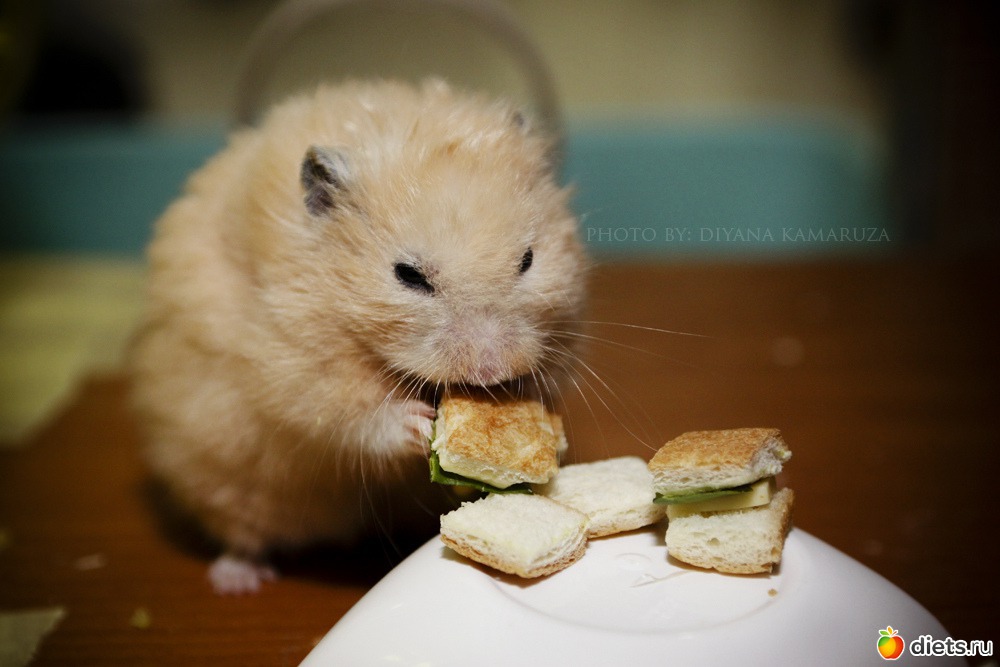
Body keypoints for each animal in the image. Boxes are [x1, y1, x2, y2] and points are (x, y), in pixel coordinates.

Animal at [128, 79, 588, 594]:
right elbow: (348, 414)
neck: (344, 313)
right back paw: (238, 580)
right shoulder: (295, 363)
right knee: (241, 534)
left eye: (528, 259)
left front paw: (521, 396)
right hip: (223, 478)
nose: (491, 371)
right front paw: (418, 423)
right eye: (408, 276)